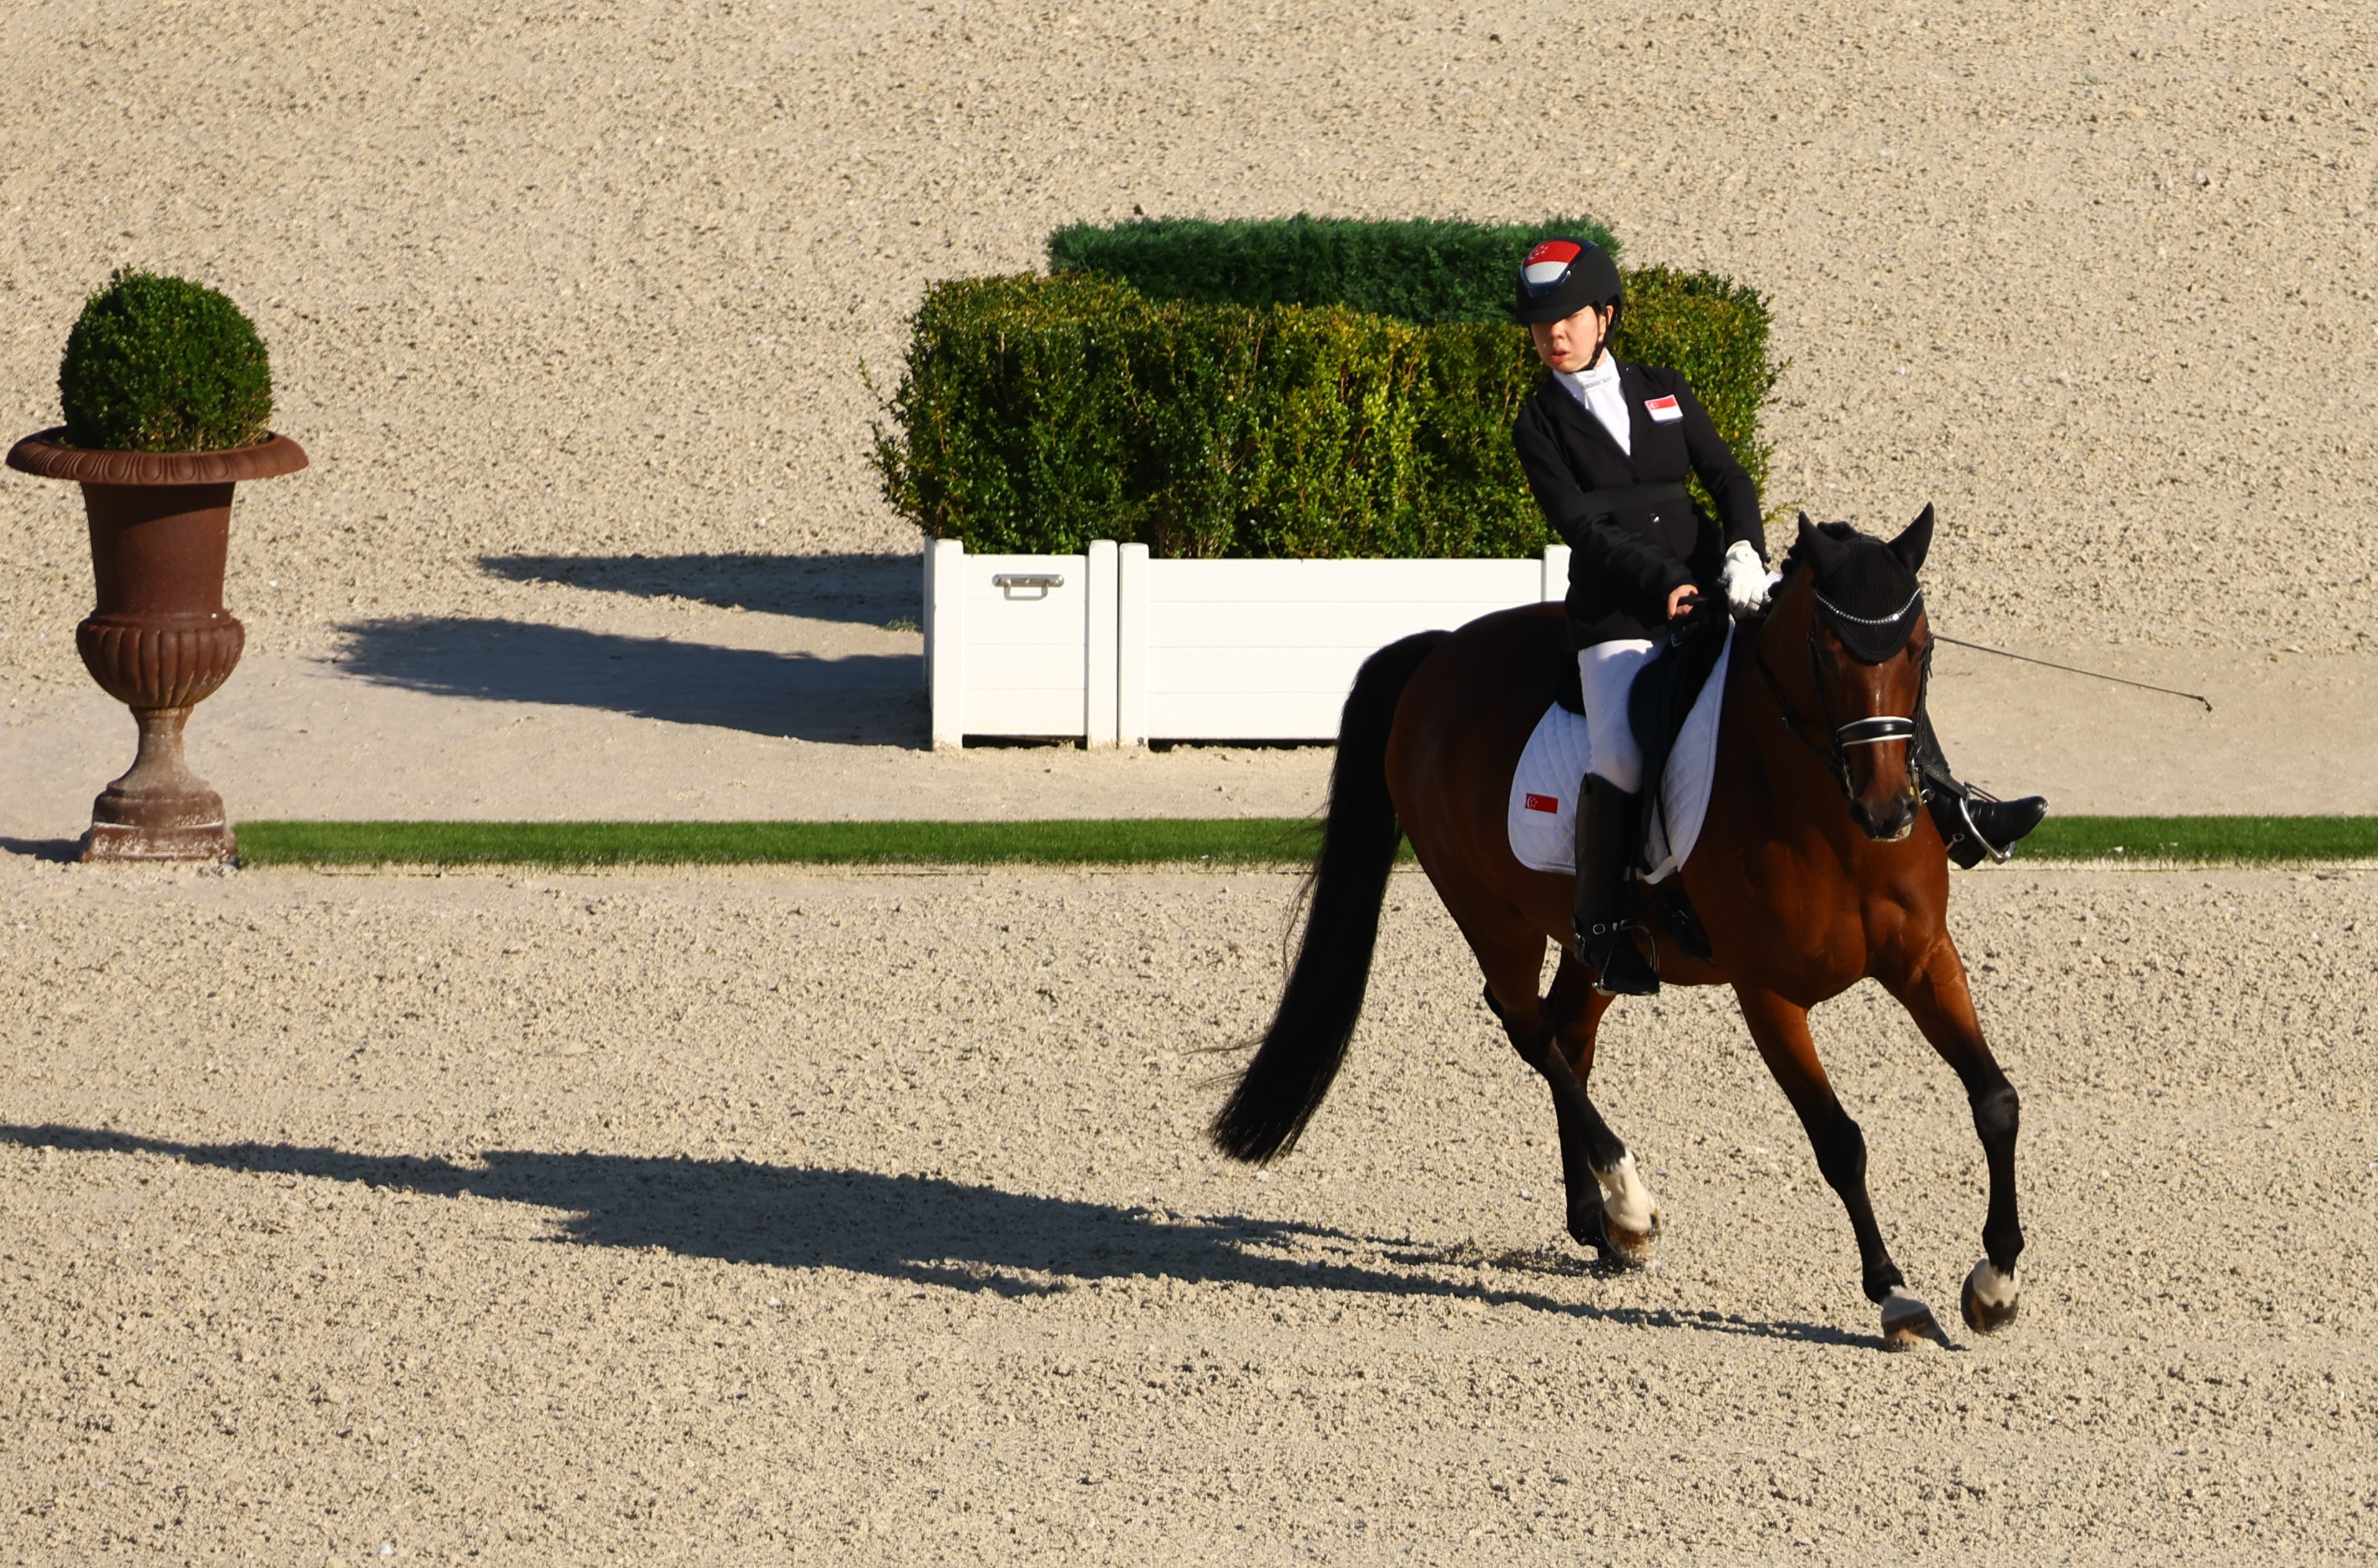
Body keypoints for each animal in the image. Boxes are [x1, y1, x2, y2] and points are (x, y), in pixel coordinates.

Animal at [1208, 511, 2026, 1351]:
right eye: (1825, 651)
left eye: (1920, 648)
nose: (1890, 811)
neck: (1829, 820)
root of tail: (1440, 652)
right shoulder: (1768, 998)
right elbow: (1839, 1141)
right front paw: (1894, 1295)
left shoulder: (1924, 959)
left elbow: (1995, 1101)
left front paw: (1994, 1285)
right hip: (1488, 914)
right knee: (1528, 1028)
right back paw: (1627, 1201)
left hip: (1596, 941)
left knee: (1567, 1030)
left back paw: (1596, 1223)